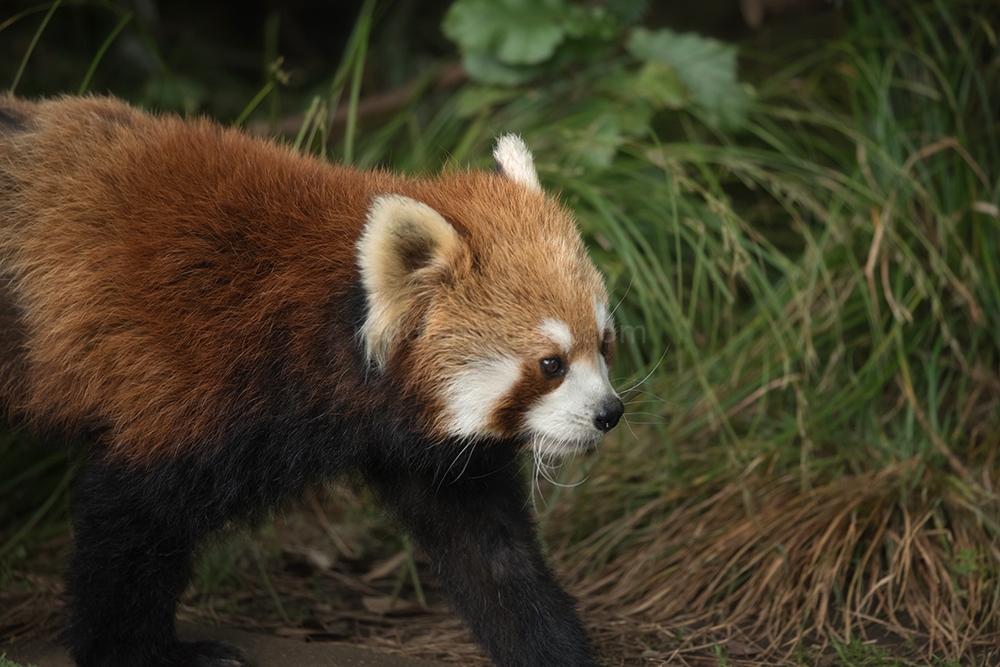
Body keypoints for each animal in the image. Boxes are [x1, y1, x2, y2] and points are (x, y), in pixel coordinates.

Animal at [0, 96, 620, 667]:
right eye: (551, 365)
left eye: (604, 343)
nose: (609, 413)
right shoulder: (184, 383)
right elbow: (131, 524)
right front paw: (139, 652)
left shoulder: (419, 442)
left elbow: (491, 554)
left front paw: (552, 647)